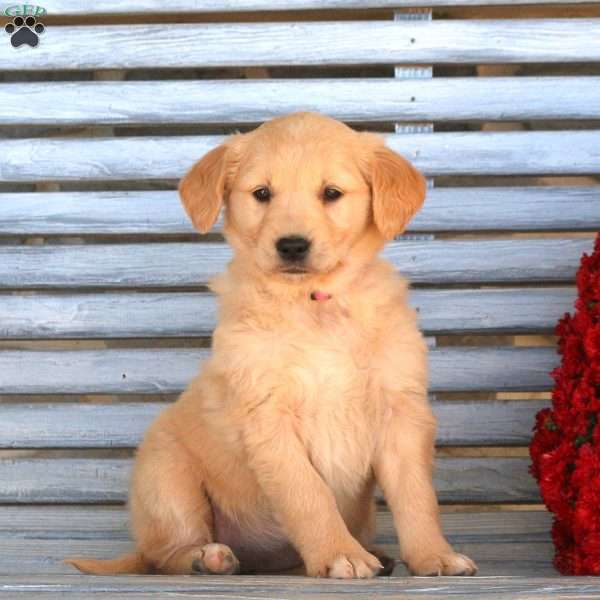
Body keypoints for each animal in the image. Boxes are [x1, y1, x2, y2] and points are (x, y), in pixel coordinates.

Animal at [67, 111, 478, 576]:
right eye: (262, 193)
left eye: (331, 193)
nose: (292, 245)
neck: (314, 304)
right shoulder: (268, 418)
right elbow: (308, 495)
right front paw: (339, 554)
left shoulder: (400, 412)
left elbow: (417, 496)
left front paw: (433, 555)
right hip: (166, 476)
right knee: (165, 554)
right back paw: (207, 558)